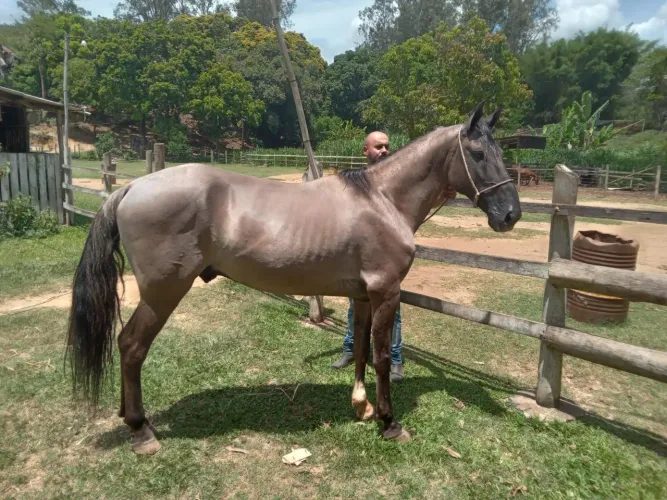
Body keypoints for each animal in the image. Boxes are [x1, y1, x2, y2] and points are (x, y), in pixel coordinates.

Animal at [65, 103, 521, 454]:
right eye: (478, 153)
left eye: (499, 150)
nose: (510, 215)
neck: (382, 200)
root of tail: (132, 188)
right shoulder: (385, 293)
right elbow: (379, 358)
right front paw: (389, 423)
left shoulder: (363, 296)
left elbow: (359, 352)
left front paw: (361, 407)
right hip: (163, 293)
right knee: (131, 346)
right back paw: (141, 430)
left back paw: (130, 418)